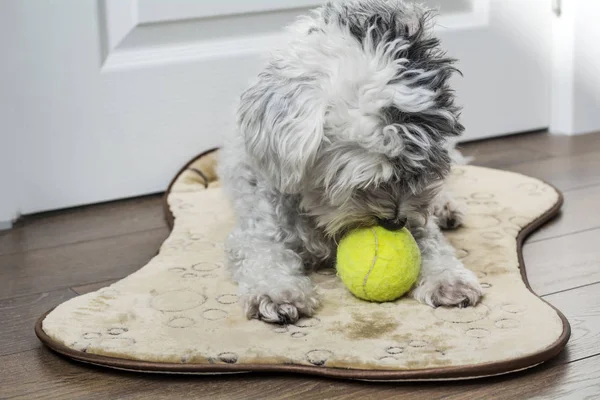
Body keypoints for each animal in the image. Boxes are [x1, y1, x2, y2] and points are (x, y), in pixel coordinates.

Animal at [219, 0, 482, 324]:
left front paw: (449, 280)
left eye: (417, 168)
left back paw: (445, 207)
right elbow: (265, 257)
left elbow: (433, 245)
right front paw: (278, 293)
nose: (395, 221)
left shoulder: (420, 222)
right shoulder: (258, 231)